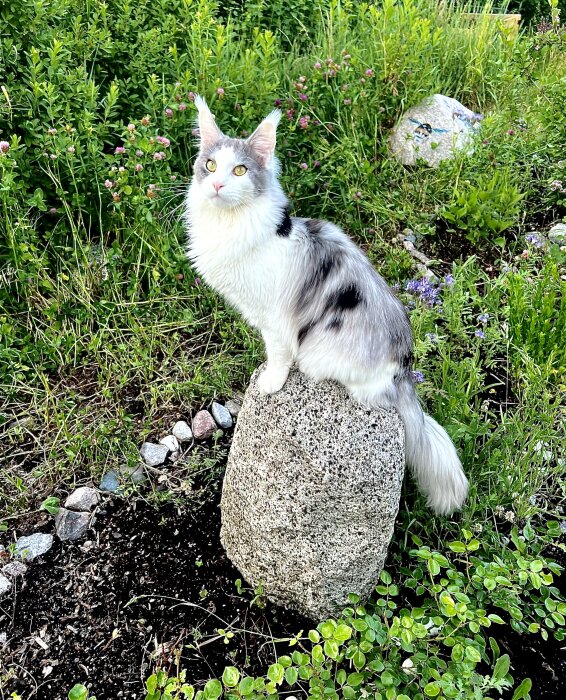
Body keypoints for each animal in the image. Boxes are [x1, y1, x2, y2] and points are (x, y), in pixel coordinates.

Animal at [185, 97, 470, 516]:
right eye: (209, 166)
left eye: (239, 170)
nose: (218, 184)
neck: (230, 225)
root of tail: (404, 366)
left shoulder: (275, 320)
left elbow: (278, 354)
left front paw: (270, 382)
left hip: (325, 355)